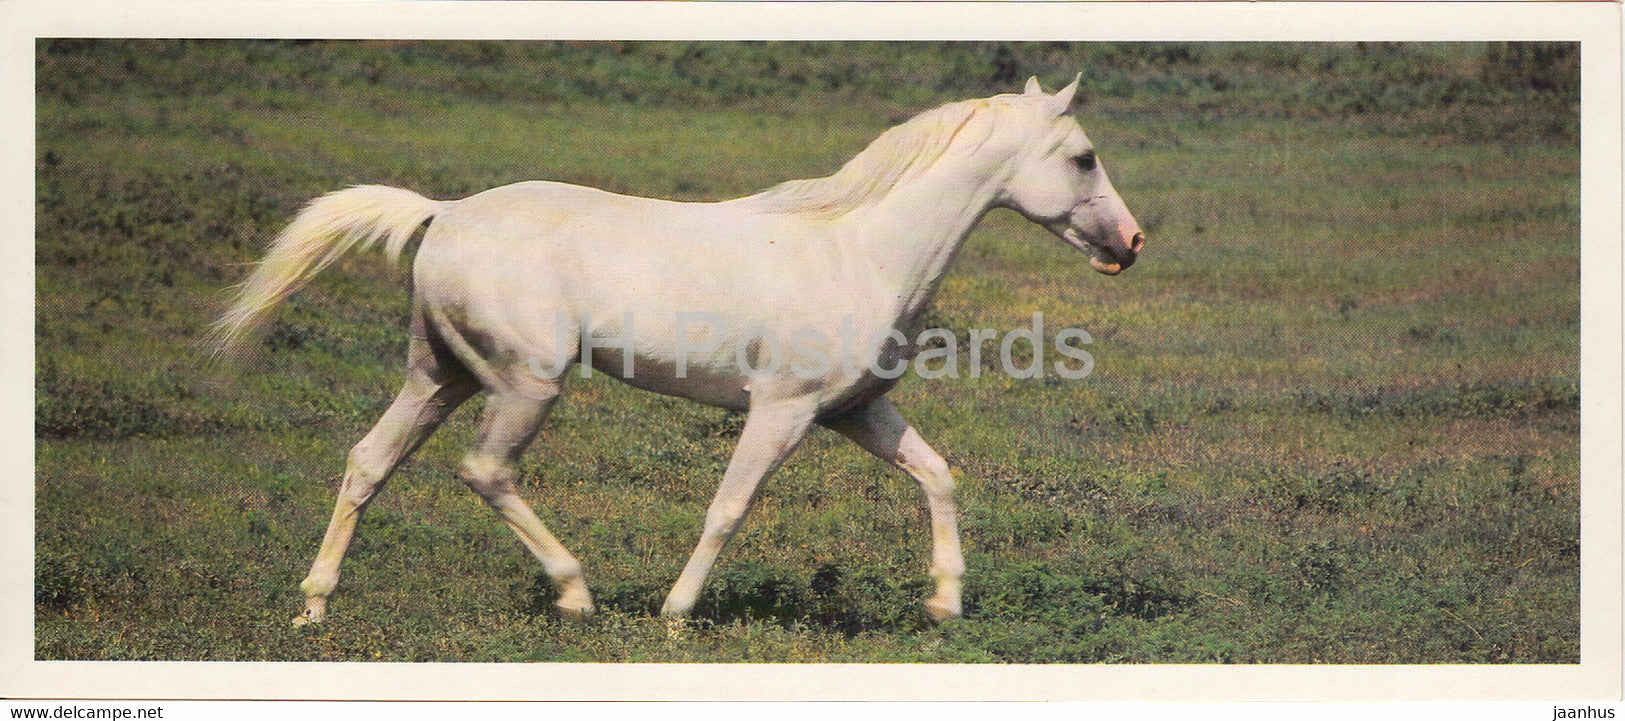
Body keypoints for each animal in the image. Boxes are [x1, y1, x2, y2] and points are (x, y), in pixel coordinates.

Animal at [210, 74, 1146, 627]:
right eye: (1083, 156)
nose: (1130, 244)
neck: (859, 248)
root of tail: (443, 212)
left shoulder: (856, 410)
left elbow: (938, 475)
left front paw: (945, 601)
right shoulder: (783, 411)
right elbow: (729, 507)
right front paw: (676, 609)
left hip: (438, 375)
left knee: (368, 461)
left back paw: (314, 606)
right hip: (524, 384)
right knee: (484, 471)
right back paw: (576, 593)